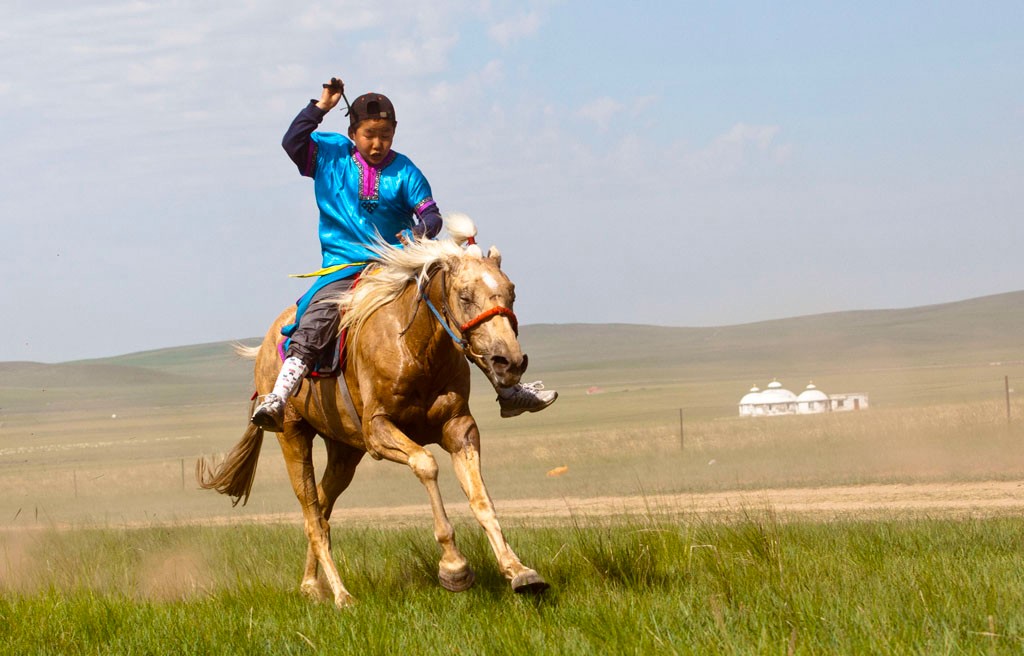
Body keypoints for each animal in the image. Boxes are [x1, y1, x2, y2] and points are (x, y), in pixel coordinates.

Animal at [196, 214, 548, 607]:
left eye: (511, 292)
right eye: (465, 296)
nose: (509, 362)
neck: (415, 347)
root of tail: (263, 348)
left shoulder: (459, 427)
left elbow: (480, 498)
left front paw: (519, 571)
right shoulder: (379, 431)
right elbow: (426, 464)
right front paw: (454, 567)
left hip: (345, 452)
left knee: (322, 507)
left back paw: (310, 585)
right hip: (293, 437)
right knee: (312, 517)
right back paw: (341, 595)